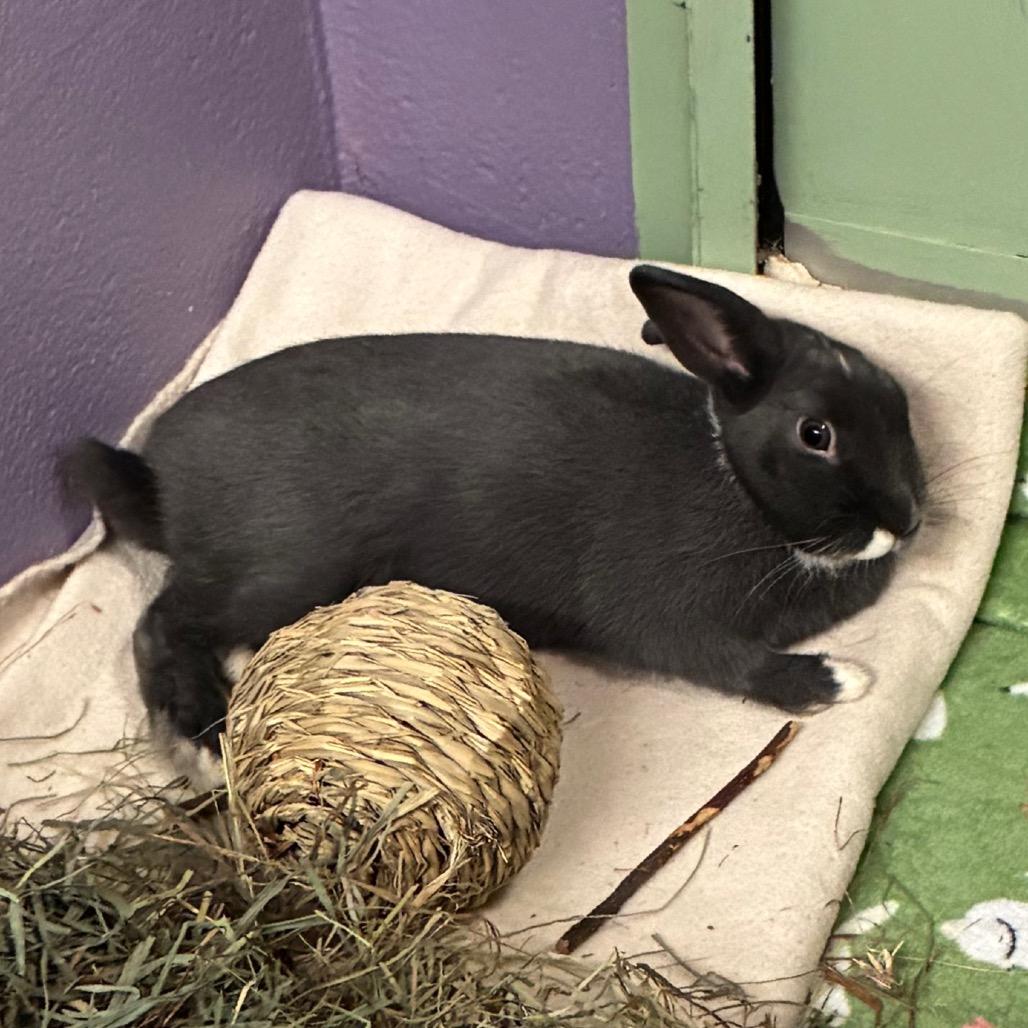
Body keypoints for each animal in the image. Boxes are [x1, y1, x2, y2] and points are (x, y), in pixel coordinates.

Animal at [63, 264, 925, 764]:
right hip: (286, 566)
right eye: (816, 434)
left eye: (900, 403)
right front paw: (841, 678)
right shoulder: (670, 622)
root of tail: (162, 473)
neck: (738, 483)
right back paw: (206, 740)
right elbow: (739, 664)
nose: (908, 518)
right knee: (161, 621)